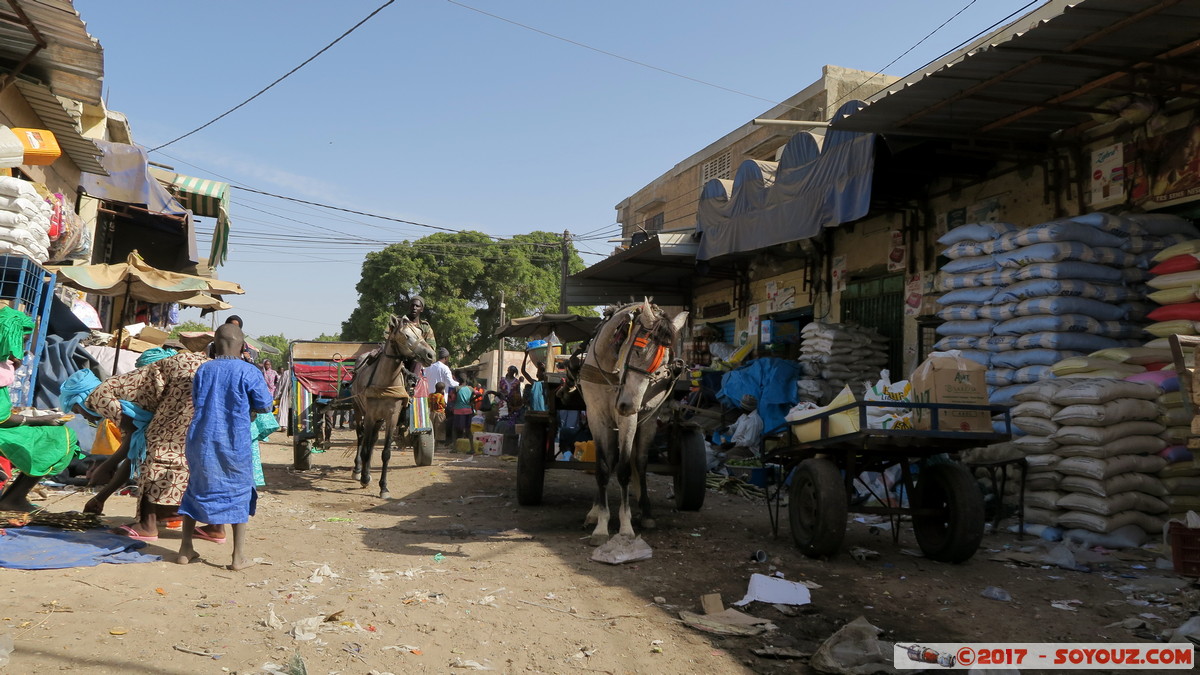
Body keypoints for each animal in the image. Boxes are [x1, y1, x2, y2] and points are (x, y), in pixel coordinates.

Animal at [350, 312, 436, 497]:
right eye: (406, 335)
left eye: (420, 333)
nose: (430, 355)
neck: (386, 382)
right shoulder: (370, 415)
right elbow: (366, 447)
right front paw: (363, 478)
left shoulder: (392, 417)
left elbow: (385, 453)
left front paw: (383, 487)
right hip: (358, 409)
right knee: (361, 438)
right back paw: (358, 470)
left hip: (379, 419)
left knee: (372, 440)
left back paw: (367, 472)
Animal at [578, 297, 686, 540]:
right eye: (638, 350)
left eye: (664, 364)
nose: (627, 405)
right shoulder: (596, 417)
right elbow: (603, 468)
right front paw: (601, 524)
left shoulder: (629, 421)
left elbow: (625, 470)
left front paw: (625, 526)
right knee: (610, 459)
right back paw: (593, 512)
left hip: (648, 423)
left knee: (640, 462)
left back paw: (646, 513)